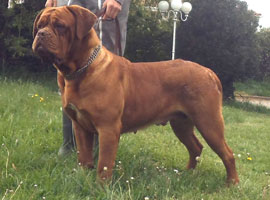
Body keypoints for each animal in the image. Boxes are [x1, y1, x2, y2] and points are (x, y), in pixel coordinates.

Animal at [32, 4, 239, 184]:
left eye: (60, 26)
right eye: (40, 25)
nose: (41, 34)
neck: (80, 70)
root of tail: (208, 72)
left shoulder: (108, 128)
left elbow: (104, 164)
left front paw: (101, 187)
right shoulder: (80, 126)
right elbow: (84, 157)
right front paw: (82, 178)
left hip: (208, 122)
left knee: (228, 153)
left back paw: (232, 183)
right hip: (181, 123)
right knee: (195, 147)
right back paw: (186, 173)